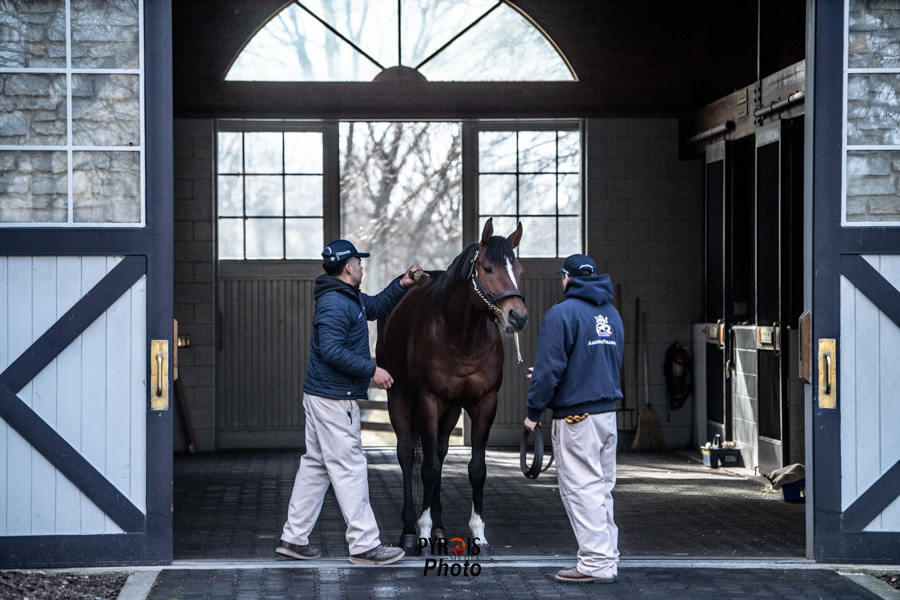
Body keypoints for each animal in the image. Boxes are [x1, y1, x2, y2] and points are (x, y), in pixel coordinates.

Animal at [376, 218, 528, 555]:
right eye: (487, 268)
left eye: (519, 269)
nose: (518, 316)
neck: (462, 336)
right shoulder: (428, 400)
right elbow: (428, 468)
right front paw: (421, 530)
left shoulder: (484, 403)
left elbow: (476, 469)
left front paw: (478, 534)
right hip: (400, 395)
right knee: (407, 453)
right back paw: (410, 529)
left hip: (450, 409)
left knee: (441, 451)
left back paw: (440, 527)